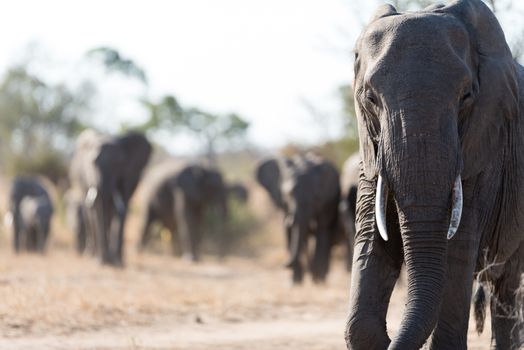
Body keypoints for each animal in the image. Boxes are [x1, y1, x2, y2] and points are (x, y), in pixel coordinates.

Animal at [68, 129, 150, 266]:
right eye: (93, 163)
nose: (103, 261)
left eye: (119, 164)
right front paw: (100, 261)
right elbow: (98, 211)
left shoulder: (130, 176)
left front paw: (119, 263)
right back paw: (90, 254)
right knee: (90, 213)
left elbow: (122, 207)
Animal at [256, 154, 342, 284]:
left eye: (315, 197)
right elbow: (290, 232)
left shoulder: (327, 202)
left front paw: (318, 280)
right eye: (288, 194)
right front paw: (295, 282)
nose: (284, 264)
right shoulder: (284, 204)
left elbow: (321, 229)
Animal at [344, 1, 524, 348]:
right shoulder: (370, 156)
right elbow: (373, 238)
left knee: (507, 286)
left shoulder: (483, 147)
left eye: (466, 96)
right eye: (370, 99)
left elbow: (456, 246)